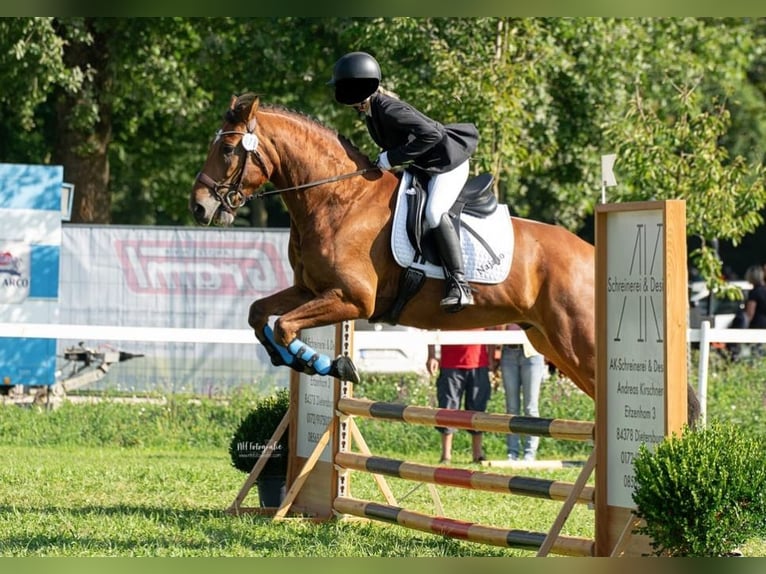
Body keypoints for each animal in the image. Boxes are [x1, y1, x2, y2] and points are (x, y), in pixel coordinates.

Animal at [189, 94, 700, 426]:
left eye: (228, 149)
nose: (199, 207)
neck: (336, 198)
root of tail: (590, 254)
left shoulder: (352, 300)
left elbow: (284, 327)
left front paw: (331, 365)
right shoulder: (311, 290)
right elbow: (261, 316)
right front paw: (301, 362)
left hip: (578, 340)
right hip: (550, 340)